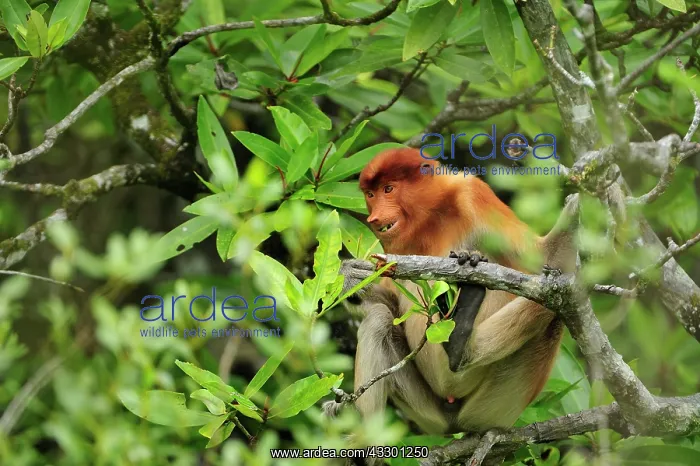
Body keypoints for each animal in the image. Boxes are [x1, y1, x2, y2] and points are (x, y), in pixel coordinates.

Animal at [325, 148, 578, 436]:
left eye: (388, 189)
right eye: (370, 194)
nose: (374, 218)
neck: (432, 216)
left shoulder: (474, 194)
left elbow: (545, 262)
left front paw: (577, 208)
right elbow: (393, 304)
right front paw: (351, 276)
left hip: (497, 405)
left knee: (554, 300)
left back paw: (461, 344)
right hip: (427, 411)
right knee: (379, 319)